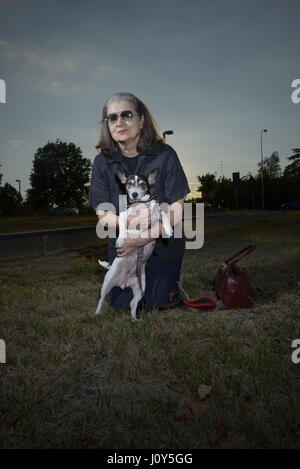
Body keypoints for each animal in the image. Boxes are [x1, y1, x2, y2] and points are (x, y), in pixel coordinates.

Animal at [95, 166, 172, 320]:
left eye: (143, 184)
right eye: (128, 184)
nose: (134, 194)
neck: (141, 204)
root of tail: (123, 283)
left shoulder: (157, 212)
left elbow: (164, 215)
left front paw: (168, 230)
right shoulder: (124, 215)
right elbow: (122, 227)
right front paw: (121, 239)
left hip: (140, 289)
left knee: (132, 304)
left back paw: (134, 319)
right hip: (106, 283)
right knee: (101, 299)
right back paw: (97, 313)